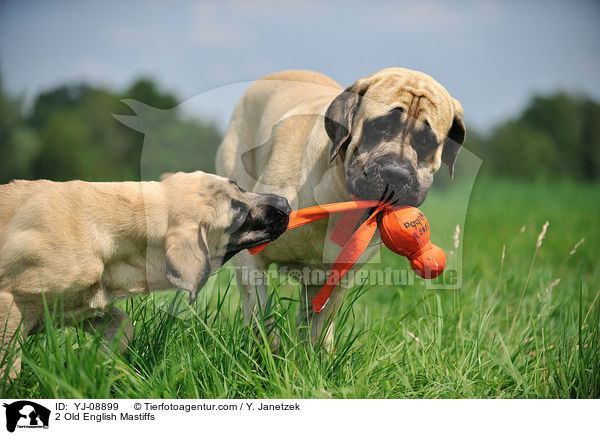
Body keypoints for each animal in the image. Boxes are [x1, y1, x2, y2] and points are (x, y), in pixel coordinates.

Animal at [0, 170, 290, 378]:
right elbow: (8, 363)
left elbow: (123, 328)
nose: (286, 203)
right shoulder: (10, 303)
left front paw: (89, 361)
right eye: (239, 216)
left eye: (238, 186)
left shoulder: (84, 307)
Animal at [218, 68, 466, 350]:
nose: (397, 174)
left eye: (427, 141)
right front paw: (268, 353)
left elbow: (317, 332)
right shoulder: (249, 259)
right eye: (379, 127)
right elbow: (262, 317)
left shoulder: (335, 281)